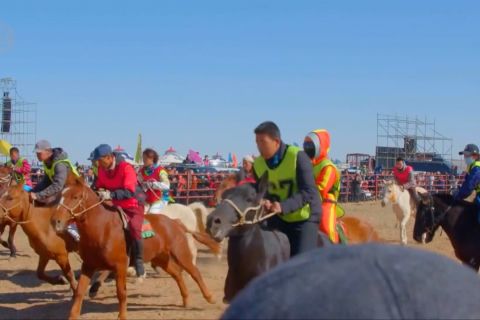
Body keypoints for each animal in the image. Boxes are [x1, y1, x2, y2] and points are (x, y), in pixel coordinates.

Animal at [50, 178, 214, 320]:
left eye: (75, 197)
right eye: (60, 196)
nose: (55, 221)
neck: (103, 228)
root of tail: (174, 222)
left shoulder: (120, 266)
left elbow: (121, 292)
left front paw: (122, 316)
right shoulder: (88, 266)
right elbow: (79, 292)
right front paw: (73, 314)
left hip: (181, 253)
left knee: (195, 273)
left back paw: (210, 298)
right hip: (161, 258)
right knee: (177, 274)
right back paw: (186, 300)